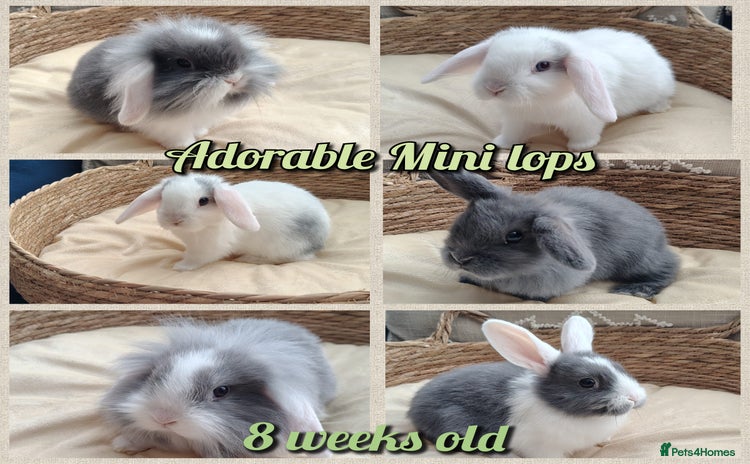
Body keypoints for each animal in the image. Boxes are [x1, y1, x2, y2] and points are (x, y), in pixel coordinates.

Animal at [67, 16, 280, 147]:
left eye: (240, 55)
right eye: (183, 63)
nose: (234, 78)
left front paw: (202, 132)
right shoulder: (170, 128)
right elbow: (180, 138)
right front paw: (187, 146)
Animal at [115, 173, 330, 271]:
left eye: (203, 201)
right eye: (163, 197)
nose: (174, 219)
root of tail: (322, 236)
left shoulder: (208, 248)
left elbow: (197, 259)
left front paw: (181, 266)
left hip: (283, 247)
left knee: (293, 259)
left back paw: (249, 259)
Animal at [422, 27, 675, 151]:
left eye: (542, 66)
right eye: (489, 56)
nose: (494, 87)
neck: (541, 101)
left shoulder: (585, 121)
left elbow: (585, 135)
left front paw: (580, 148)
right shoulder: (516, 121)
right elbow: (512, 134)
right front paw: (500, 144)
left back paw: (658, 108)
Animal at [429, 170, 679, 301]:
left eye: (514, 236)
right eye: (466, 216)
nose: (459, 258)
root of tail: (661, 236)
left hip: (641, 261)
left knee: (669, 269)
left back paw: (635, 289)